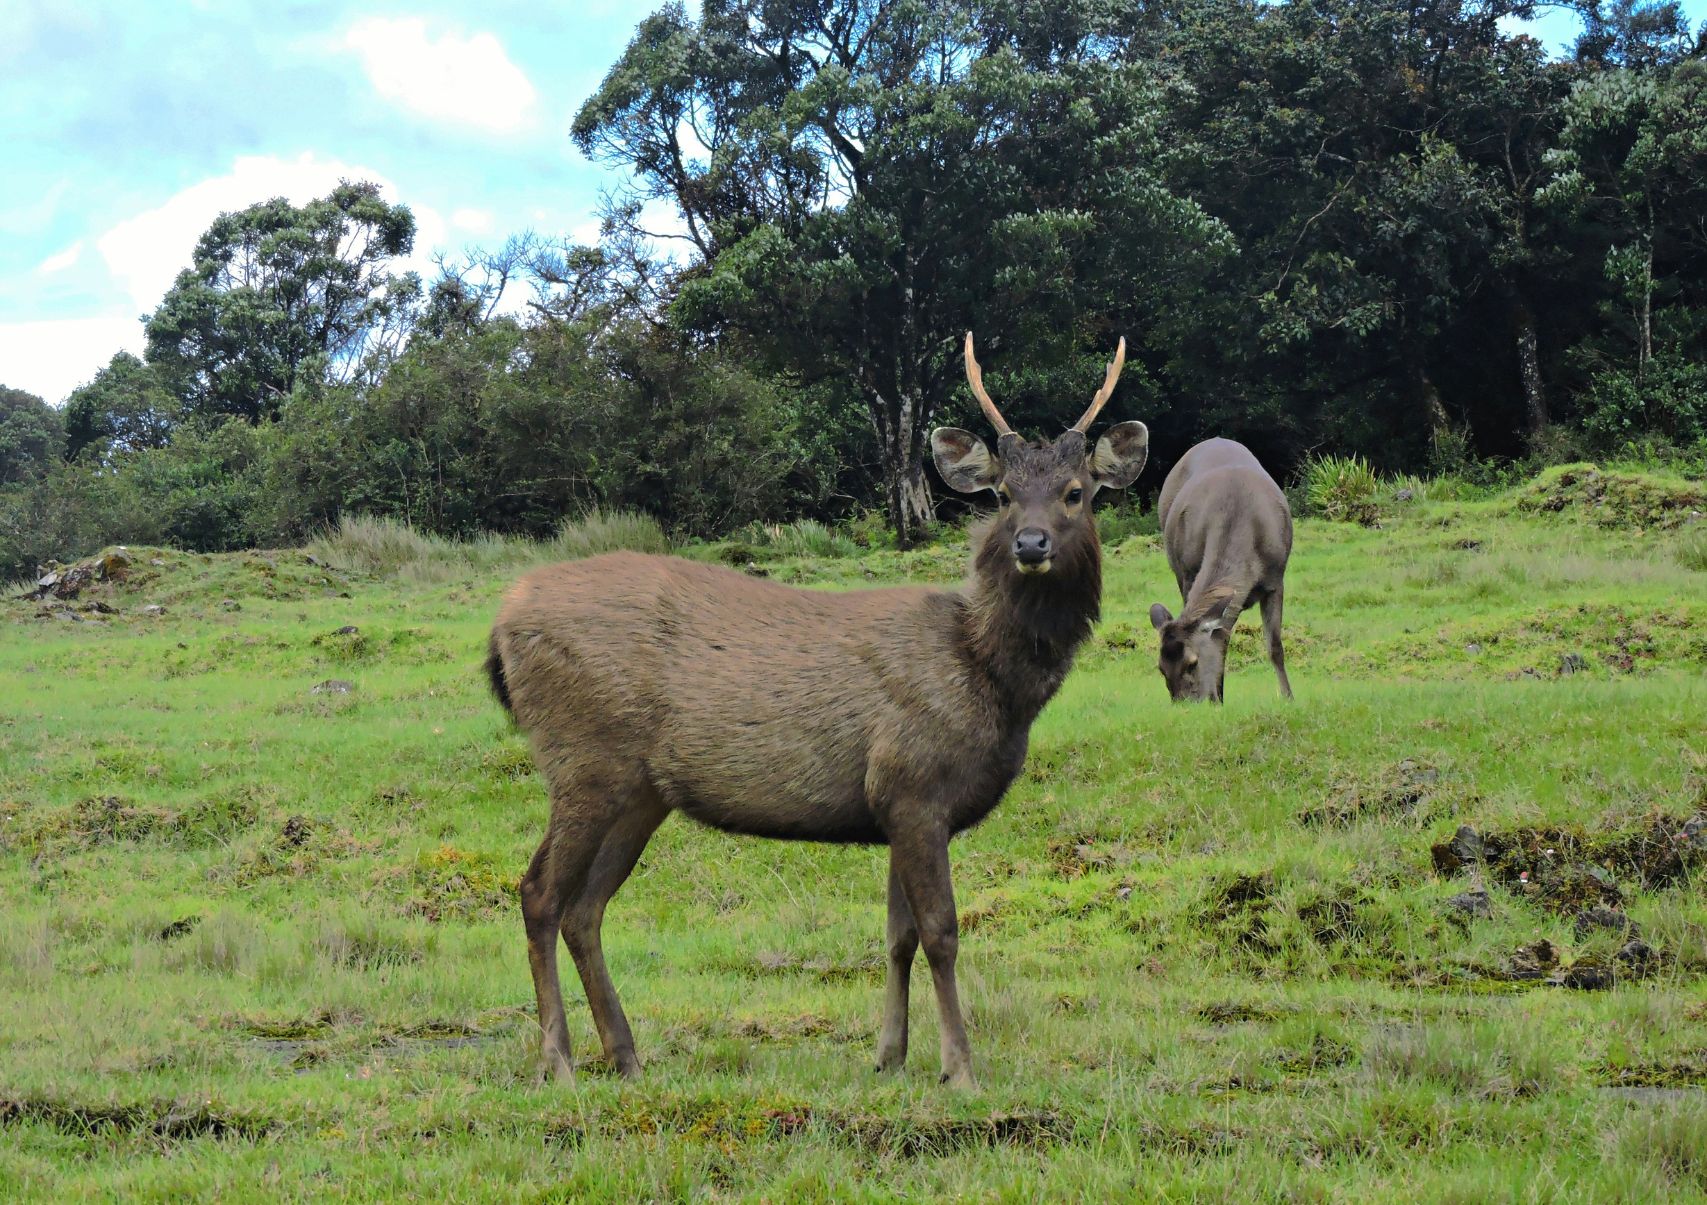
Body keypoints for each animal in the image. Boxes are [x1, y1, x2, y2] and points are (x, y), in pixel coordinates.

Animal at [484, 332, 1147, 1085]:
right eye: (1003, 494)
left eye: (1075, 493)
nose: (1030, 544)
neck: (988, 678)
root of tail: (501, 627)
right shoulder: (914, 783)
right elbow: (942, 932)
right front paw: (959, 1067)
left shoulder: (895, 802)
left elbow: (897, 936)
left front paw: (889, 1055)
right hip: (582, 758)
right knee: (538, 892)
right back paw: (558, 1061)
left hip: (638, 789)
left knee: (585, 907)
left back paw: (625, 1055)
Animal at [1147, 436, 1290, 699]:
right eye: (1161, 668)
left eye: (1192, 663)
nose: (1183, 703)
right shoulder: (1189, 574)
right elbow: (1221, 642)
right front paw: (1218, 698)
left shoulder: (1276, 579)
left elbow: (1274, 646)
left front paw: (1288, 698)